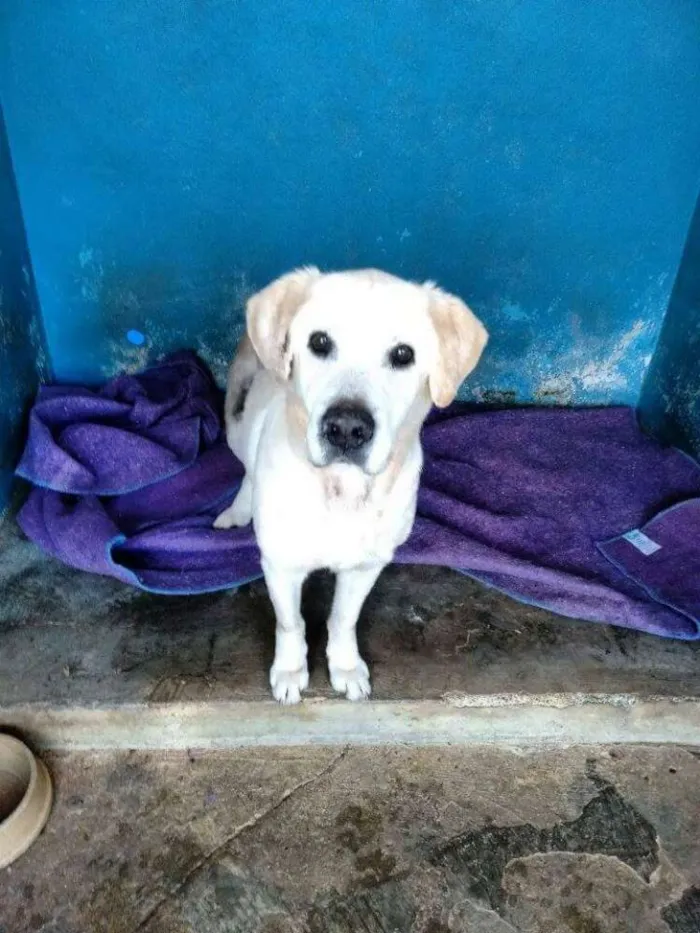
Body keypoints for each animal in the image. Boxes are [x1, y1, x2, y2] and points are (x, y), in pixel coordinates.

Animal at [213, 266, 486, 704]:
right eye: (319, 342)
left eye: (403, 354)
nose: (345, 429)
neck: (341, 491)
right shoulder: (281, 564)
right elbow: (291, 624)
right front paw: (290, 671)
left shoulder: (367, 566)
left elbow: (343, 619)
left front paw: (344, 666)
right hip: (236, 423)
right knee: (245, 468)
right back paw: (238, 510)